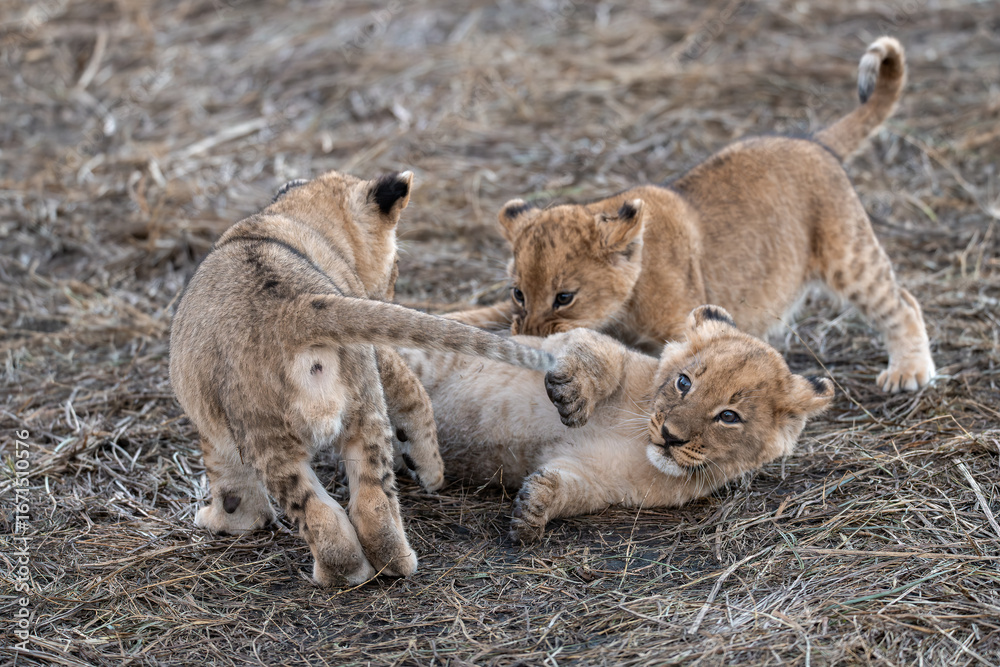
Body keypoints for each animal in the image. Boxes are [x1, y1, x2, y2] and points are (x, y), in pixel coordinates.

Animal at [169, 169, 554, 586]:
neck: (295, 218)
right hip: (352, 405)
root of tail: (291, 312)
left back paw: (356, 568)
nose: (394, 284)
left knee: (333, 508)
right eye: (397, 262)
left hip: (272, 423)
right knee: (364, 504)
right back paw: (385, 565)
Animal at [400, 305, 834, 542]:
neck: (636, 438)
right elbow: (598, 353)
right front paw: (572, 396)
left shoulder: (596, 479)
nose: (670, 437)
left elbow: (567, 490)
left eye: (729, 417)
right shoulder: (557, 342)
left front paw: (532, 509)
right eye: (684, 382)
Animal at [449, 37, 934, 393]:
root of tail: (813, 142)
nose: (528, 333)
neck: (628, 300)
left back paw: (909, 370)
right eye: (518, 293)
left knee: (901, 301)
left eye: (564, 297)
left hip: (849, 256)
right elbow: (477, 314)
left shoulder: (684, 331)